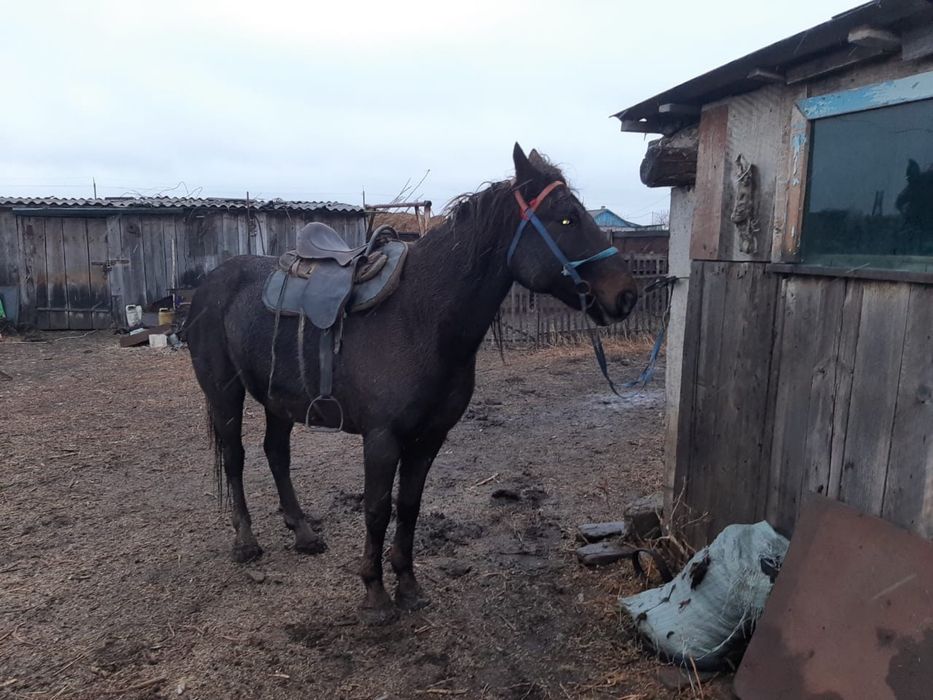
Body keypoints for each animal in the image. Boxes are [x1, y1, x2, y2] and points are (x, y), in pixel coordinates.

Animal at [184, 144, 639, 624]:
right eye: (567, 218)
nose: (627, 295)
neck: (420, 317)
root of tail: (210, 283)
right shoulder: (382, 438)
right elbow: (377, 509)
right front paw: (375, 594)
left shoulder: (429, 437)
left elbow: (409, 506)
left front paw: (407, 584)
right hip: (224, 394)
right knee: (235, 458)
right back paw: (245, 541)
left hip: (278, 400)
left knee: (276, 454)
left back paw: (303, 532)